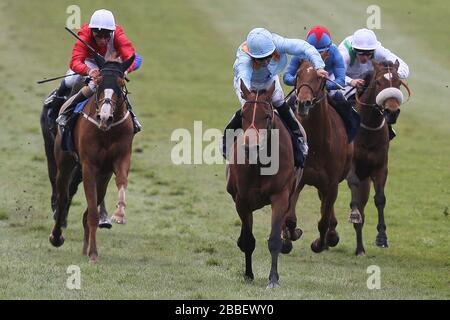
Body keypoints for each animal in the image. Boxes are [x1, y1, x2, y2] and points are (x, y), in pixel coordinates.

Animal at [50, 53, 135, 262]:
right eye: (98, 81)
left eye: (121, 83)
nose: (105, 117)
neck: (106, 131)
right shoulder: (89, 165)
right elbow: (91, 214)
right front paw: (94, 254)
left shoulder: (121, 159)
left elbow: (121, 181)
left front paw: (119, 214)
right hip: (64, 162)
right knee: (63, 199)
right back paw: (56, 236)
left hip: (103, 176)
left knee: (90, 207)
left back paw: (85, 247)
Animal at [225, 79, 302, 288]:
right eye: (242, 114)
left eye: (267, 116)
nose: (251, 147)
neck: (259, 163)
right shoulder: (241, 200)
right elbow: (248, 240)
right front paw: (248, 274)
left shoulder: (280, 196)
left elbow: (274, 239)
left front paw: (273, 279)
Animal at [294, 56, 354, 254]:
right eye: (298, 74)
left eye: (321, 78)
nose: (303, 103)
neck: (316, 145)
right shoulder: (298, 179)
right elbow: (289, 216)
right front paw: (288, 236)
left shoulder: (332, 183)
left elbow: (323, 220)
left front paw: (319, 243)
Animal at [346, 59, 410, 255]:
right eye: (379, 82)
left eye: (398, 83)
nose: (392, 112)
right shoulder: (351, 165)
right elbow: (352, 185)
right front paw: (354, 214)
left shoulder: (380, 167)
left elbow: (380, 199)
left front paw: (382, 237)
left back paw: (360, 249)